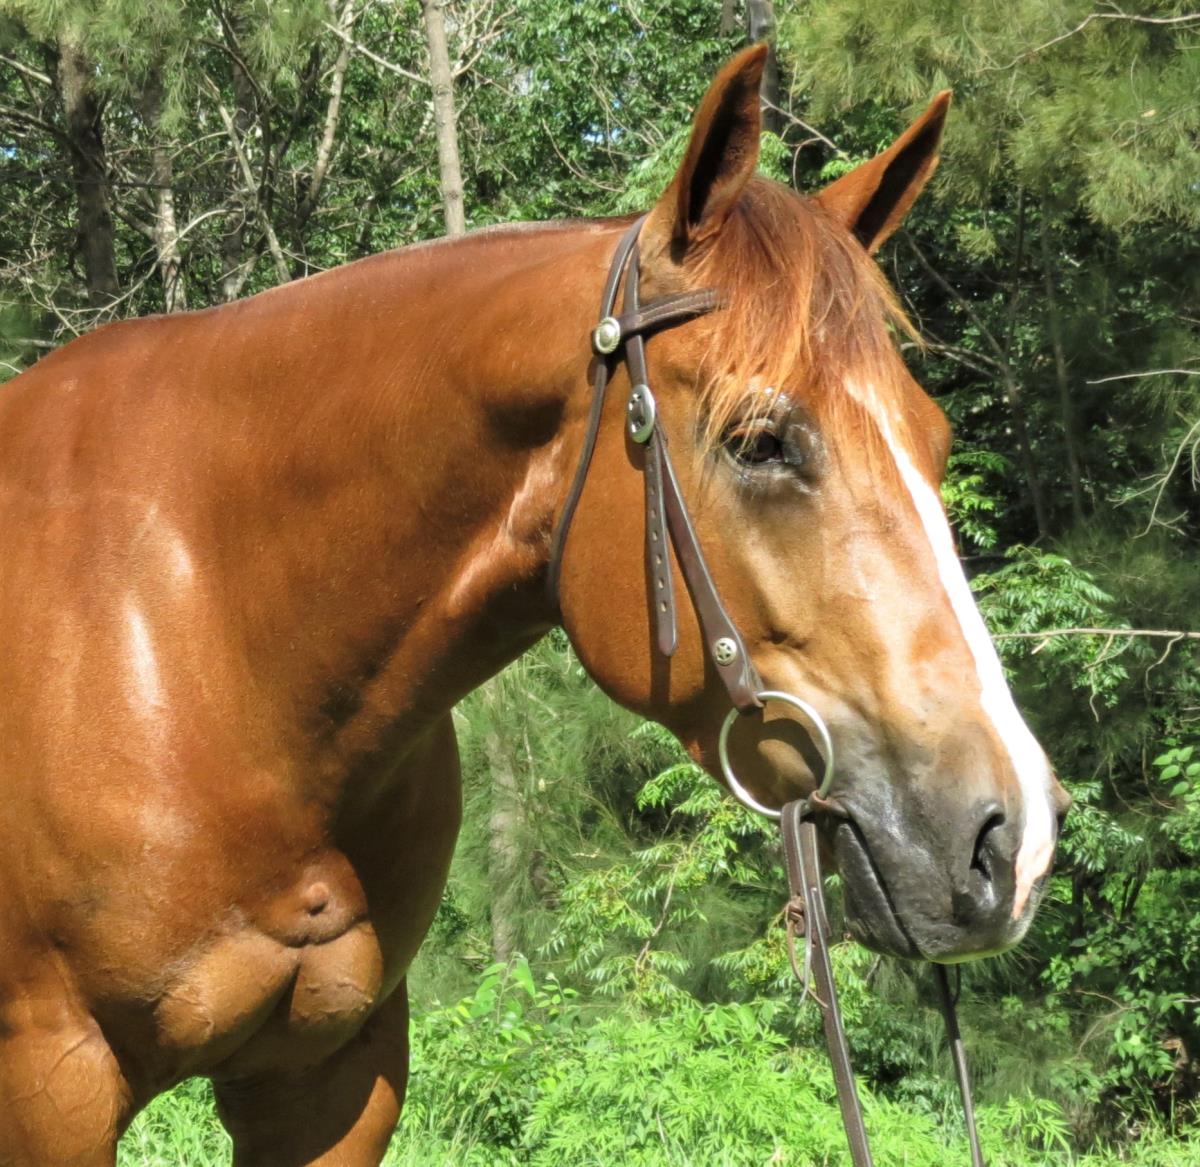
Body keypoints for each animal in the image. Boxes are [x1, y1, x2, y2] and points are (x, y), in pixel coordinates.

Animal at [0, 45, 1068, 1166]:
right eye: (760, 440)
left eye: (935, 440)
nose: (1016, 840)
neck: (208, 642)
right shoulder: (49, 1085)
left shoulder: (331, 1078)